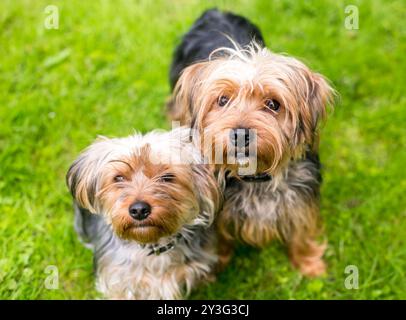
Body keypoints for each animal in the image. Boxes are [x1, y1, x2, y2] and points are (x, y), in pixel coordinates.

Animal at [168, 8, 334, 276]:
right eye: (222, 100)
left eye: (273, 104)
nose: (240, 134)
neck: (255, 176)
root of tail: (215, 11)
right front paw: (217, 264)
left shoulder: (300, 195)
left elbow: (300, 227)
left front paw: (308, 262)